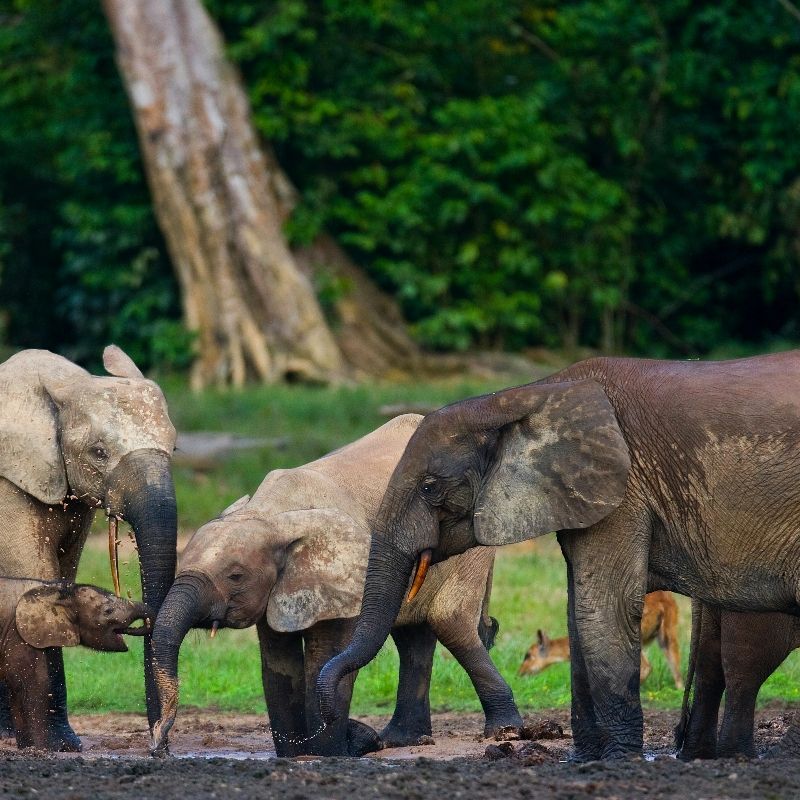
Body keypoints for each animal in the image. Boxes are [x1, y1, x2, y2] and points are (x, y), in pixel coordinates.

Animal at [0, 577, 150, 749]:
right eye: (108, 611)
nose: (141, 626)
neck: (56, 590)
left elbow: (18, 689)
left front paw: (29, 747)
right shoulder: (18, 634)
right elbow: (32, 684)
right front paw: (49, 749)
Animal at [150, 414, 522, 756]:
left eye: (235, 576)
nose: (159, 744)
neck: (273, 515)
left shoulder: (344, 580)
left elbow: (325, 657)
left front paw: (328, 751)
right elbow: (278, 664)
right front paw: (297, 753)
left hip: (471, 547)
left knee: (451, 625)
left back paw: (503, 732)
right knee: (413, 638)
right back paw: (401, 740)